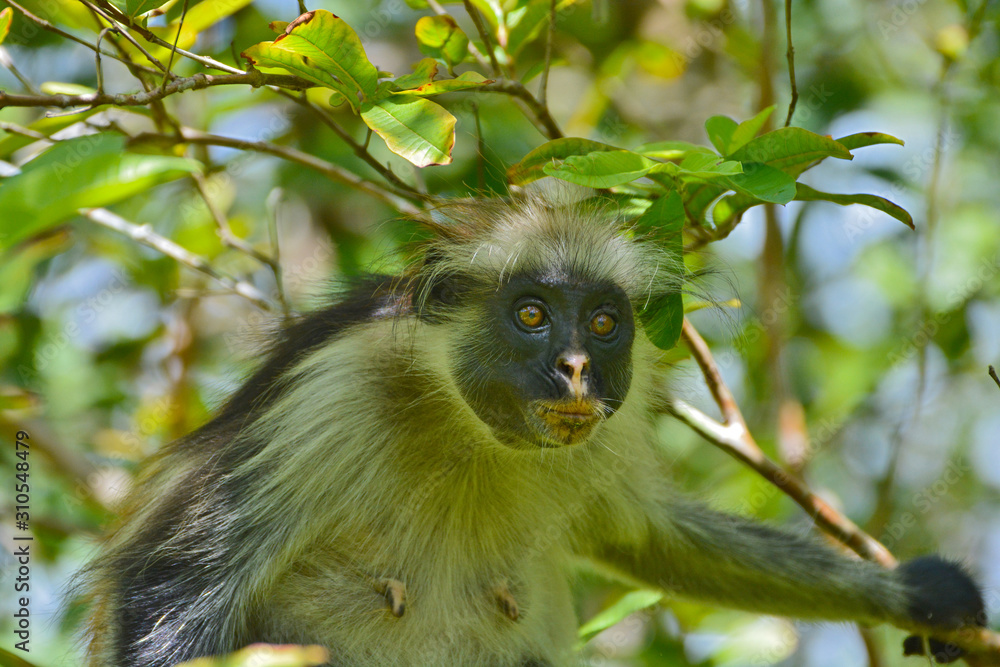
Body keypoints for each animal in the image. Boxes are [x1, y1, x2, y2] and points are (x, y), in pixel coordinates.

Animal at [81, 196, 986, 667]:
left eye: (604, 323)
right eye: (530, 314)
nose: (576, 366)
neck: (474, 430)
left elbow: (650, 537)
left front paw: (919, 594)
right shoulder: (330, 393)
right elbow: (175, 588)